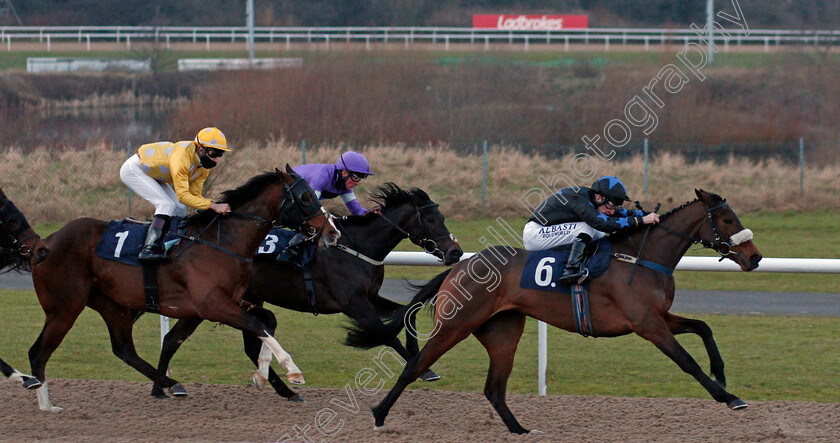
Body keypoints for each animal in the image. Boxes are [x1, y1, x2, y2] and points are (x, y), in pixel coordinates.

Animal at [27, 166, 340, 412]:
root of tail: (45, 243)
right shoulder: (212, 305)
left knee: (124, 349)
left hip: (112, 304)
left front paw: (263, 373)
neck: (223, 242)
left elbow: (267, 322)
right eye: (305, 197)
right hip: (64, 309)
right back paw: (46, 404)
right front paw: (292, 370)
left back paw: (171, 384)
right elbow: (258, 326)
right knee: (37, 352)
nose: (333, 231)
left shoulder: (231, 300)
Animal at [346, 189, 760, 436]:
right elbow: (687, 361)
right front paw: (729, 397)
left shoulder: (659, 317)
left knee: (494, 387)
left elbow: (703, 327)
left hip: (504, 330)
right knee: (415, 366)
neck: (641, 257)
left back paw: (521, 431)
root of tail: (459, 266)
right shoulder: (647, 324)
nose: (755, 257)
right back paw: (379, 415)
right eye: (727, 220)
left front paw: (721, 374)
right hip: (455, 324)